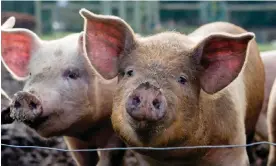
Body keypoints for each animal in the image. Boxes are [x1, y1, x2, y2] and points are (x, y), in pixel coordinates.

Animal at [0, 20, 126, 165]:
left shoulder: (114, 134)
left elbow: (109, 156)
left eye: (72, 74)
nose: (24, 96)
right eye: (31, 74)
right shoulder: (75, 142)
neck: (89, 129)